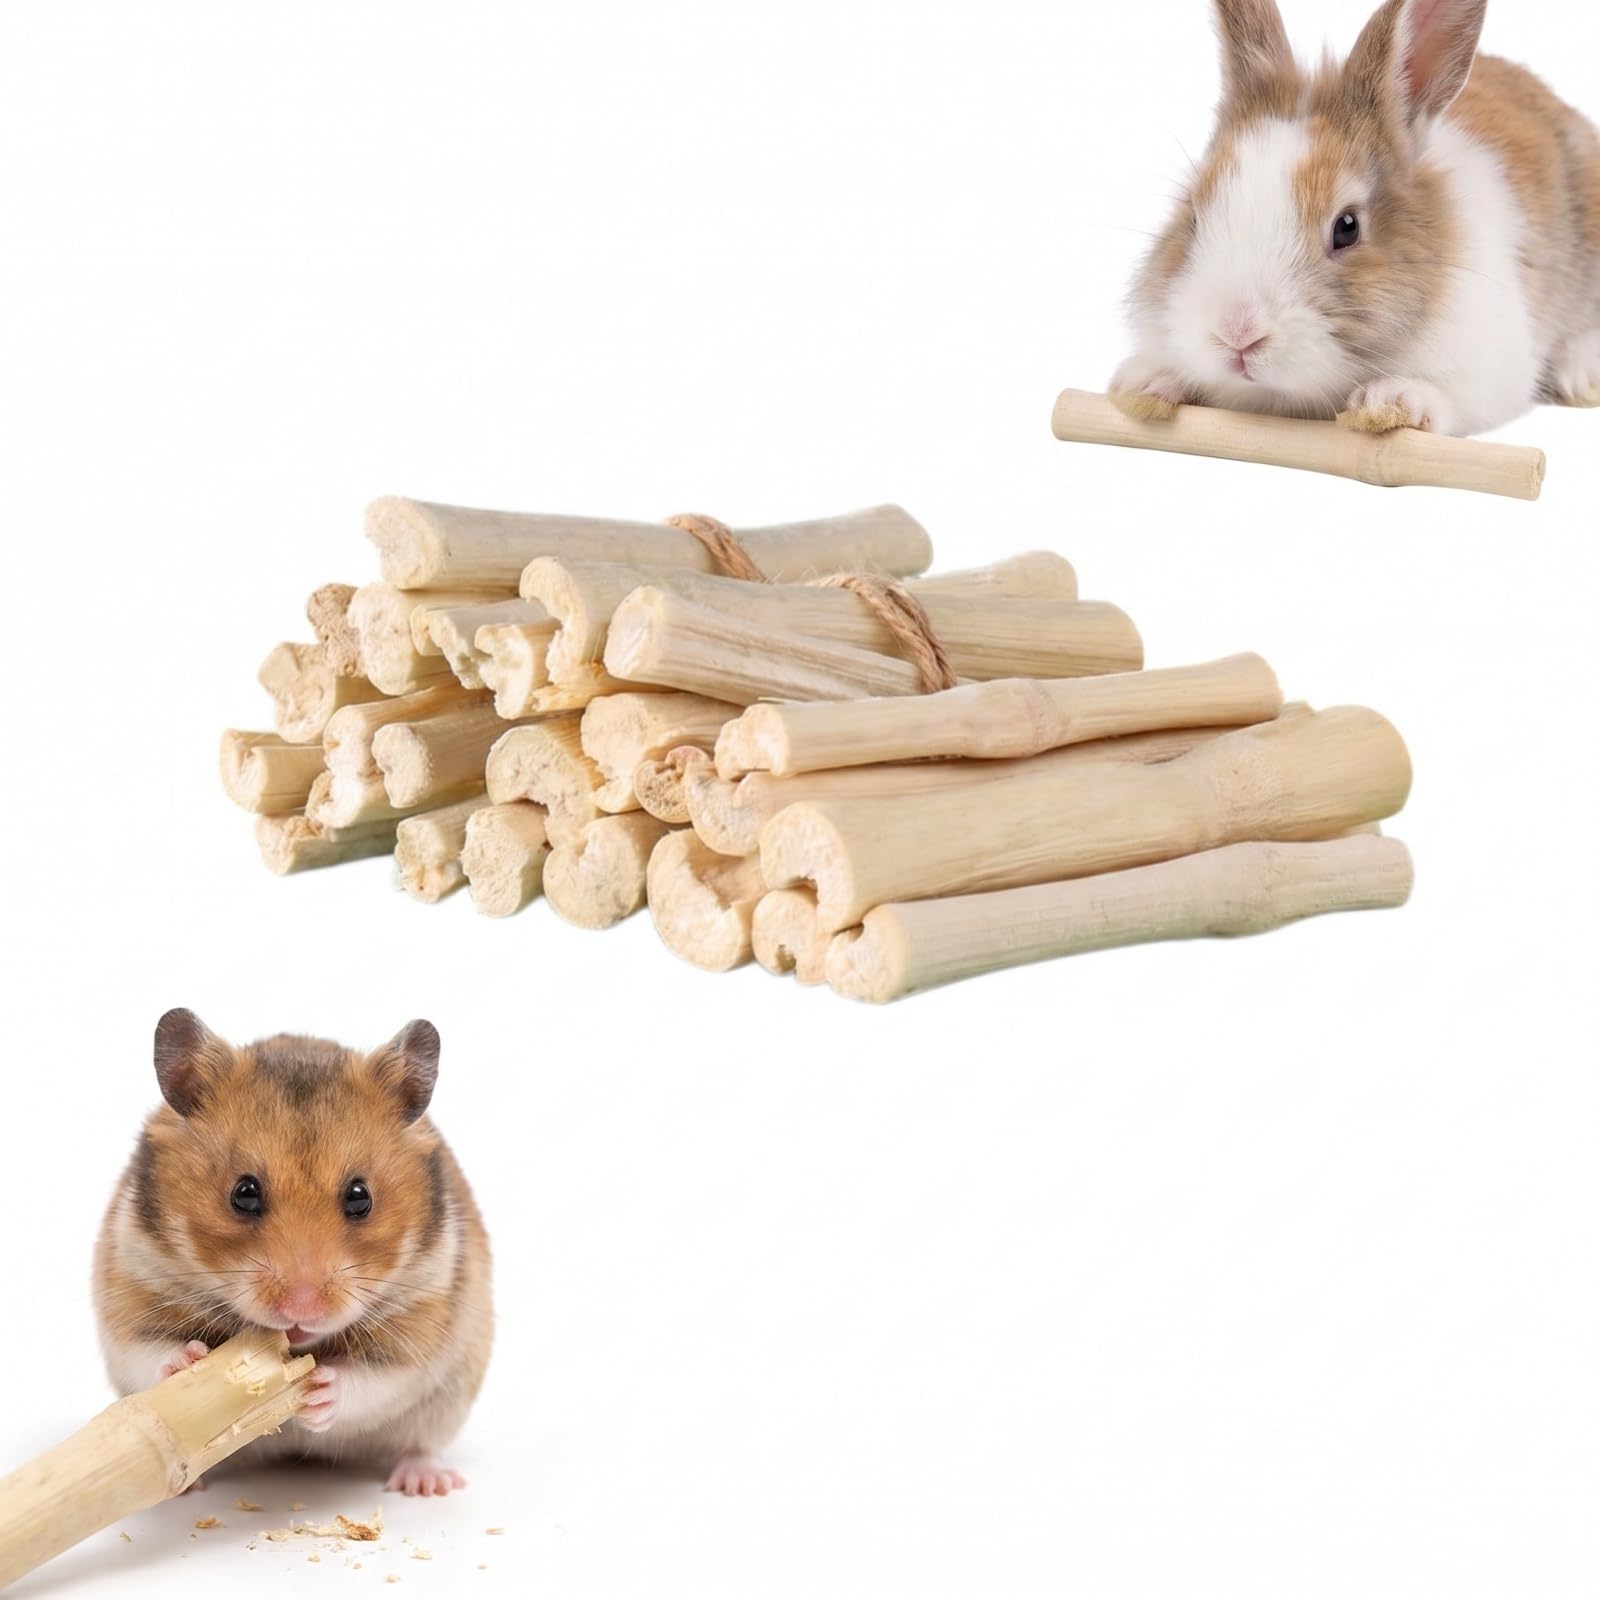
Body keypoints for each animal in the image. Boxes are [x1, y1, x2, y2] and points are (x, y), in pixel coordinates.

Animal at [93, 1009, 492, 1498]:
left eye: (360, 1197)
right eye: (244, 1194)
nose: (302, 1310)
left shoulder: (424, 1318)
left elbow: (375, 1377)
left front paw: (320, 1387)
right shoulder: (133, 1287)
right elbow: (150, 1349)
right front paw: (189, 1359)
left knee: (420, 1445)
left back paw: (428, 1483)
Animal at [1110, 0, 1600, 437]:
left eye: (1347, 228)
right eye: (1193, 215)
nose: (1238, 334)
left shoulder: (1491, 368)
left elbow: (1450, 398)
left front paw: (1394, 400)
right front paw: (1147, 382)